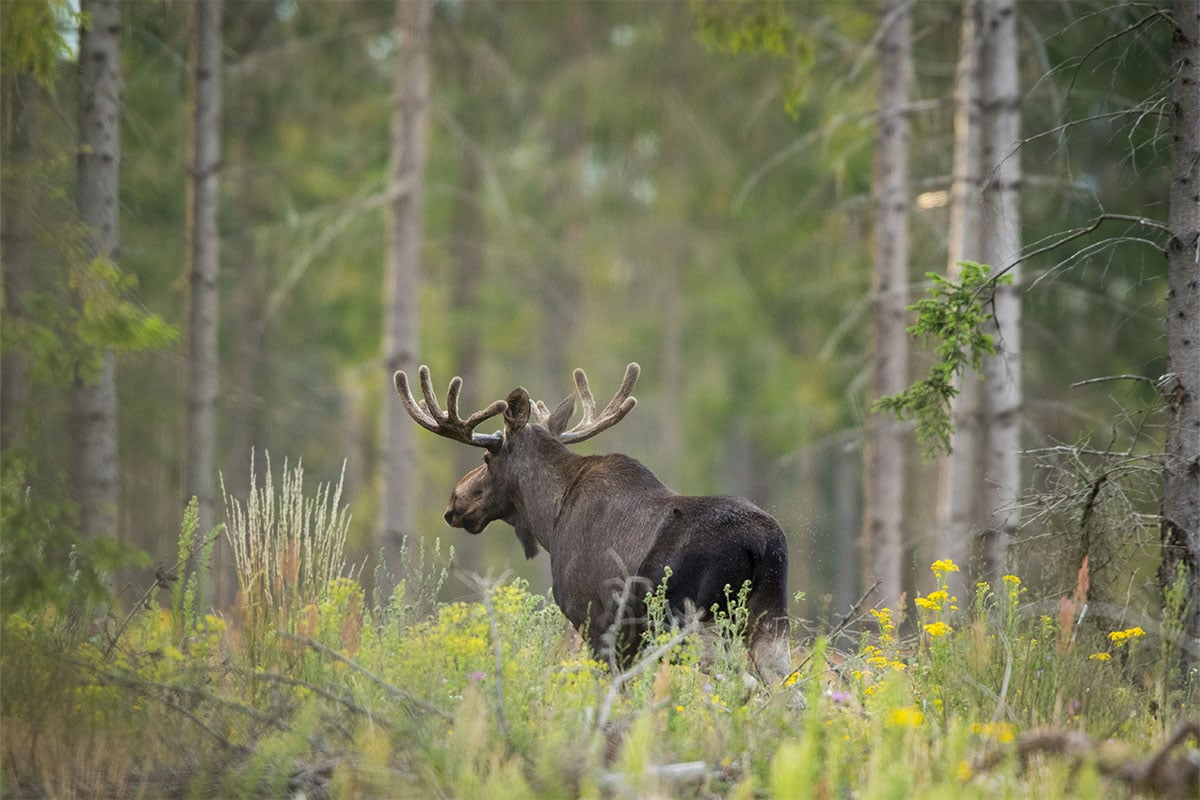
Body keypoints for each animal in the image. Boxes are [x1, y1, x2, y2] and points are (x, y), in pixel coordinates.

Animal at [391, 362, 796, 676]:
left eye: (487, 458)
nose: (454, 503)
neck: (549, 521)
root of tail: (763, 545)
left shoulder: (593, 620)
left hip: (698, 620)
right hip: (770, 617)